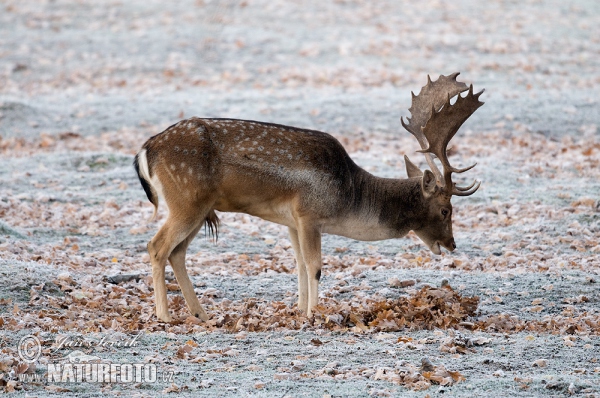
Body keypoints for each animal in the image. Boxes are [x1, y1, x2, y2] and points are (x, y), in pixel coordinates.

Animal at [135, 72, 482, 324]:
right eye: (446, 210)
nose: (452, 244)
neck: (350, 197)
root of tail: (145, 151)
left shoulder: (291, 221)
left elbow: (300, 265)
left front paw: (300, 310)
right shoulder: (309, 214)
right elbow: (315, 266)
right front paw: (315, 314)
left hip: (199, 206)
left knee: (177, 252)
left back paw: (201, 313)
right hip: (186, 200)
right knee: (157, 246)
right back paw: (164, 316)